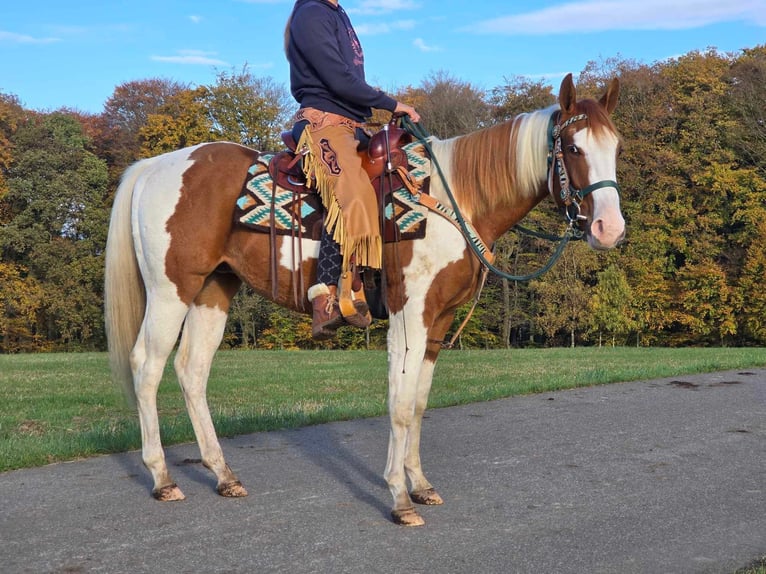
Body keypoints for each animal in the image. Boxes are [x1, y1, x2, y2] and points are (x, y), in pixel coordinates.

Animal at [105, 72, 628, 528]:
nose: (609, 229)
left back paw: (223, 474)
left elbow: (418, 403)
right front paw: (399, 498)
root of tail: (154, 166)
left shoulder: (438, 323)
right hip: (171, 290)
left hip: (213, 290)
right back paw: (162, 477)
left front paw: (420, 484)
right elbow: (399, 404)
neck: (452, 200)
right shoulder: (408, 316)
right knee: (147, 366)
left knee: (191, 370)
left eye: (617, 147)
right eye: (573, 147)